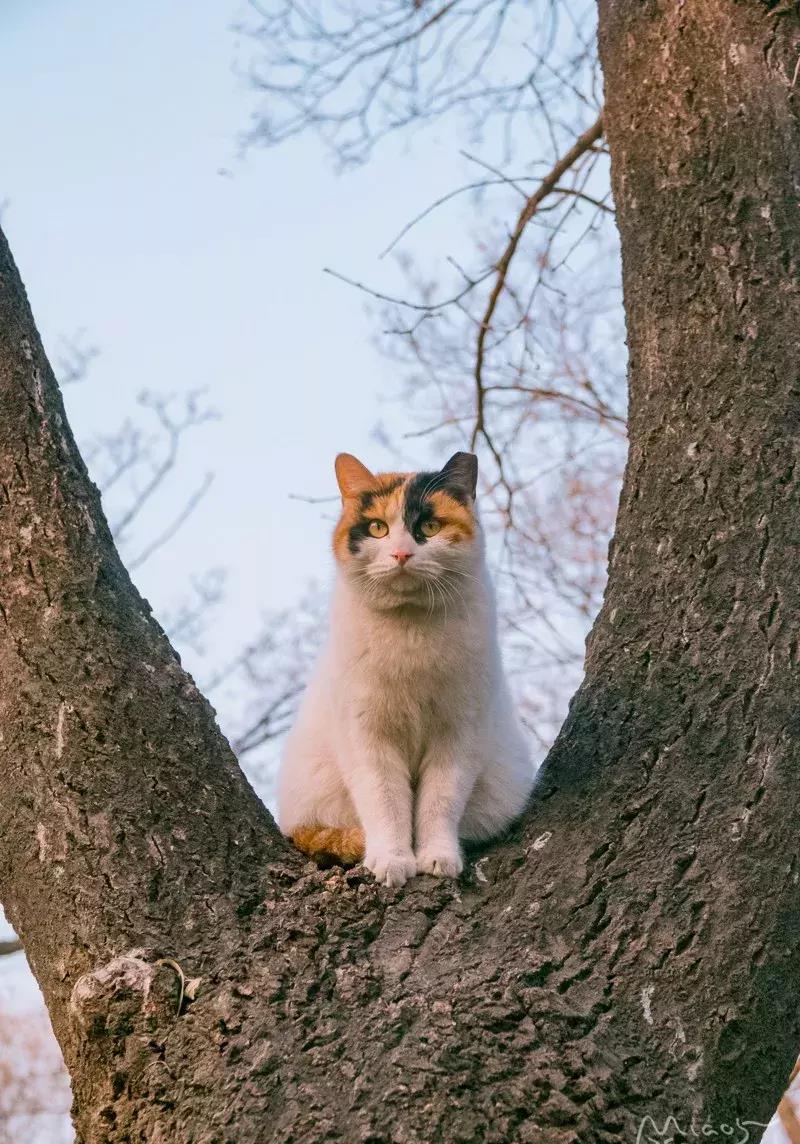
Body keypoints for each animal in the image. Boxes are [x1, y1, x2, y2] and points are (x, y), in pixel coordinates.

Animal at [278, 448, 535, 883]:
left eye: (429, 526)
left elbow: (440, 801)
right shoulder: (368, 737)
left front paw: (437, 857)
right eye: (378, 528)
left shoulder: (459, 734)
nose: (401, 553)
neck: (410, 634)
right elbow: (385, 802)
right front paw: (393, 860)